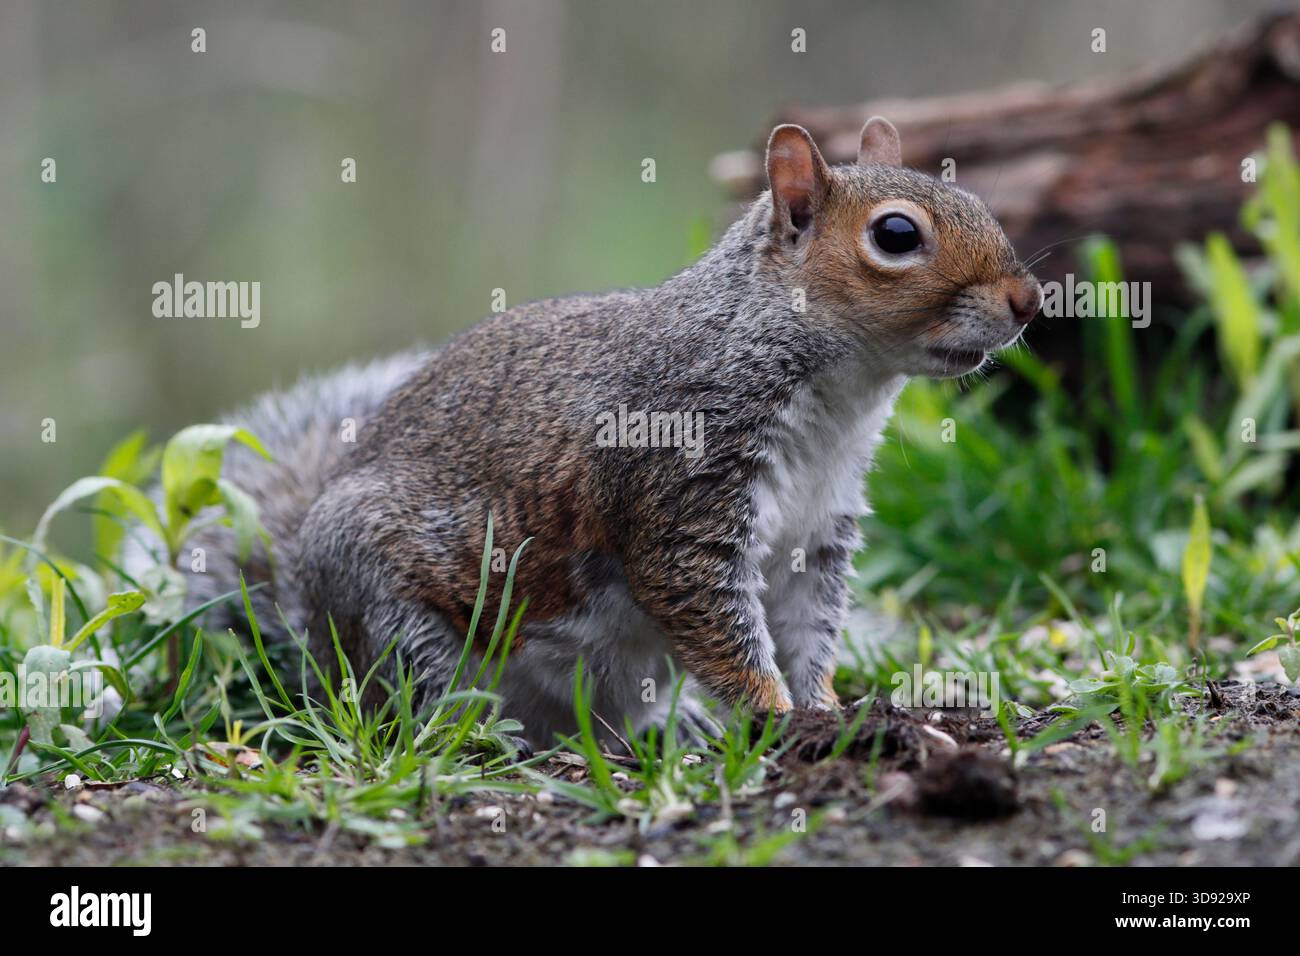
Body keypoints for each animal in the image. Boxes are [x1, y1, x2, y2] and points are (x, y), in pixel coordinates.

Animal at [161, 118, 1041, 747]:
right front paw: (775, 715)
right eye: (896, 236)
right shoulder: (682, 490)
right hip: (393, 611)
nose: (1029, 299)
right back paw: (492, 739)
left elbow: (807, 630)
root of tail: (316, 640)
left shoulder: (814, 534)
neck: (836, 400)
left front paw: (825, 708)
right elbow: (713, 619)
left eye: (978, 201)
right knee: (421, 702)